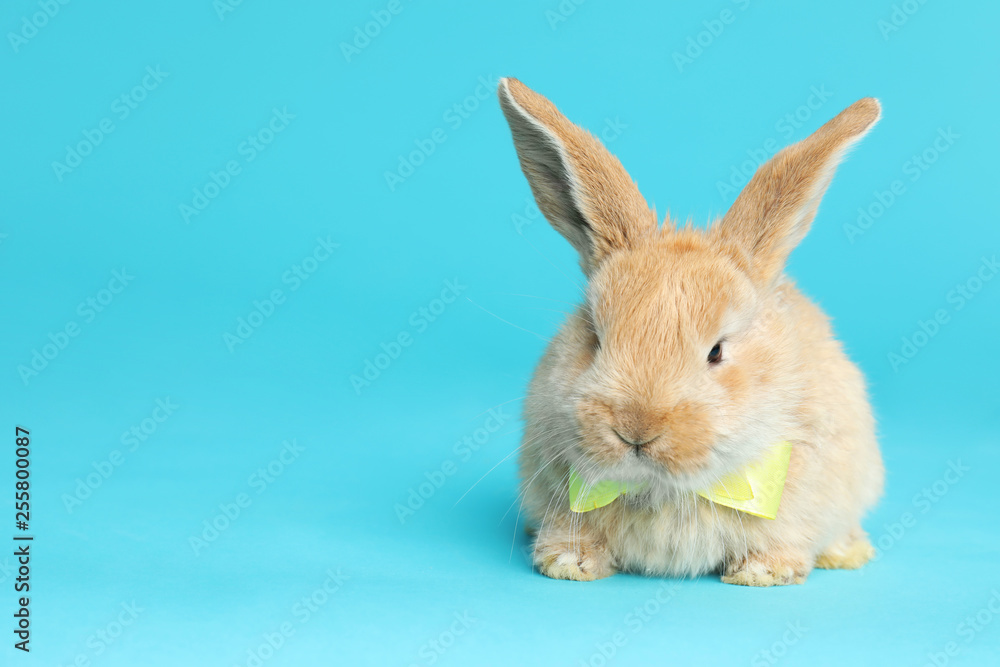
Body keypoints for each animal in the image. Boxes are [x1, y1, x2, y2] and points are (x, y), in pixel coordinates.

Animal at [497, 77, 884, 586]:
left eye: (716, 352)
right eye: (595, 338)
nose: (635, 431)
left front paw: (761, 574)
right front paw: (568, 565)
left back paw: (847, 553)